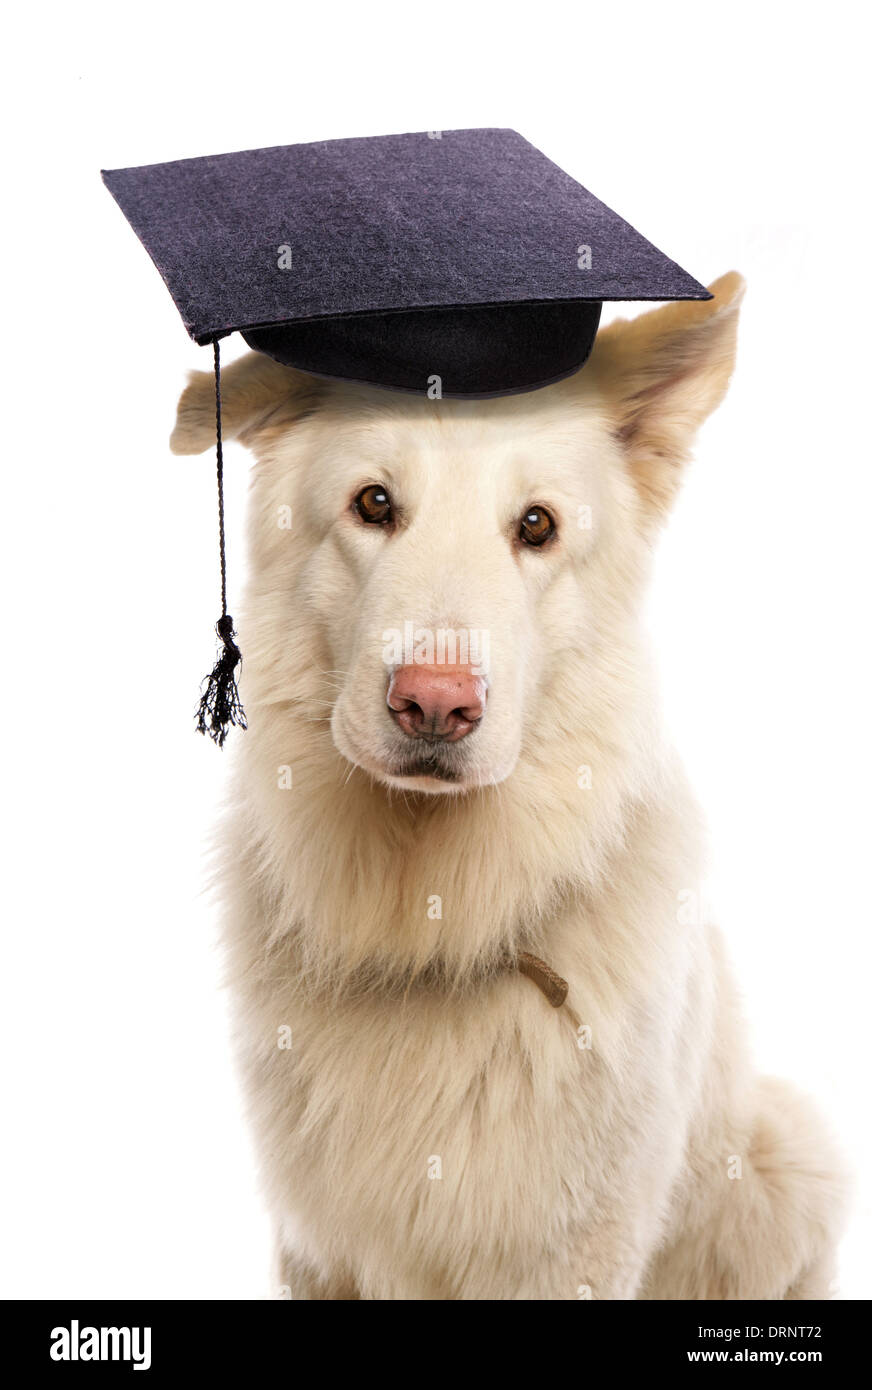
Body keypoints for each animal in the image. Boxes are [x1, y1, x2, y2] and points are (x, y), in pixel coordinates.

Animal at [173, 273, 851, 1301]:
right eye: (374, 503)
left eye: (537, 527)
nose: (434, 704)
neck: (431, 918)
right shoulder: (318, 1244)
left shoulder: (573, 1252)